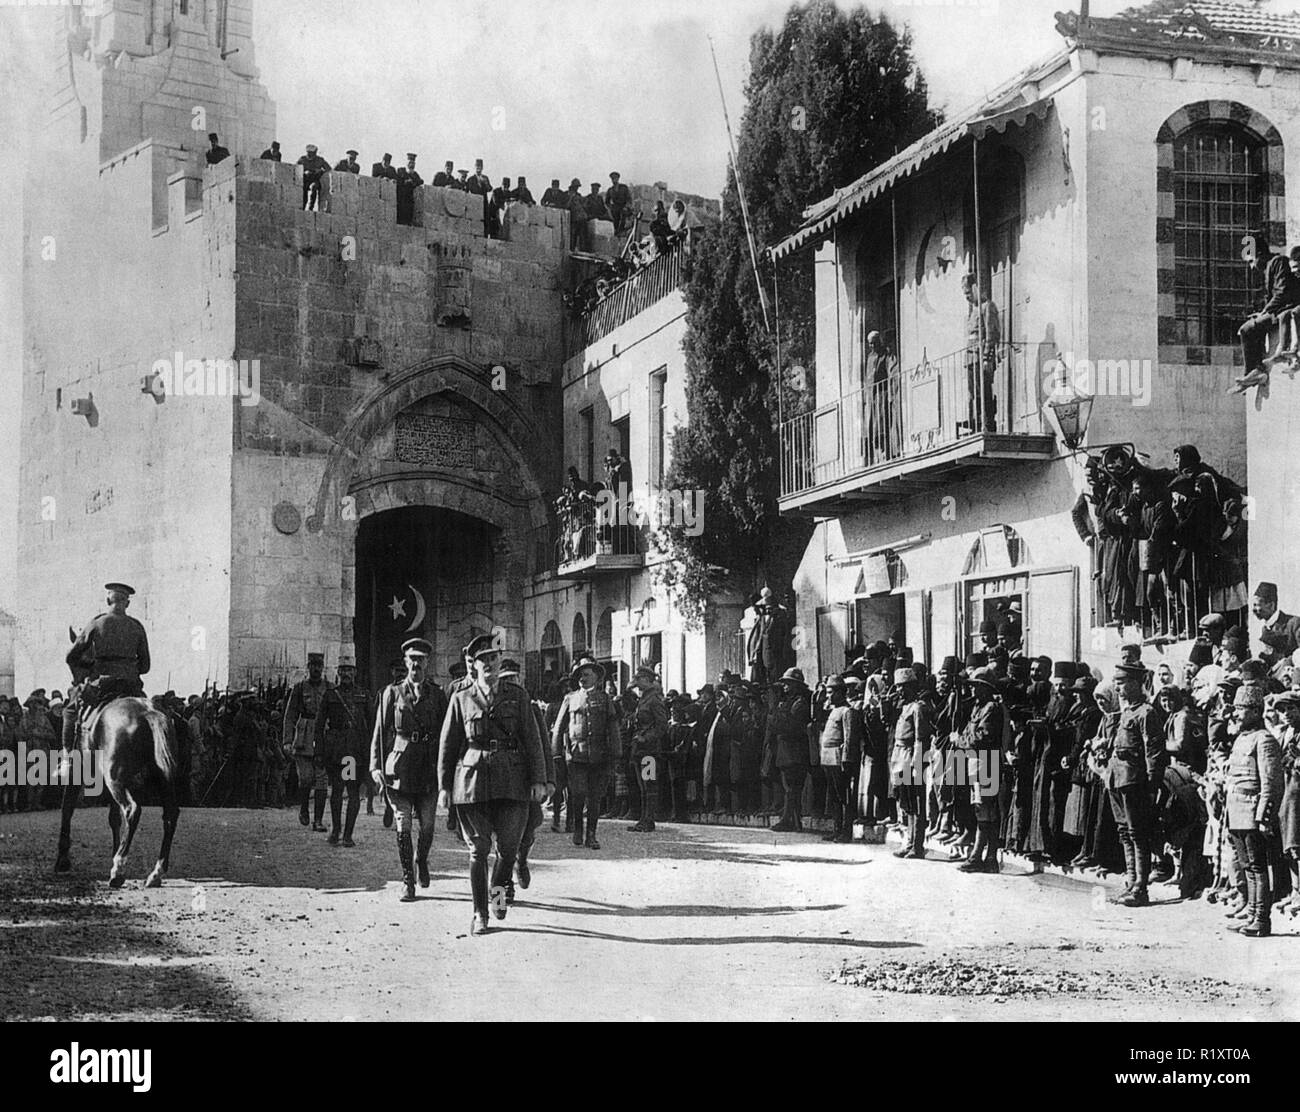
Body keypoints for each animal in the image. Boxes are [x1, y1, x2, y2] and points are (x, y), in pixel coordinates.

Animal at [54, 697, 183, 889]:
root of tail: (149, 713)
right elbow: (114, 819)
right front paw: (115, 850)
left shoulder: (77, 772)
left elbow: (67, 809)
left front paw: (62, 860)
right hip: (162, 780)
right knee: (170, 816)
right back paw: (155, 873)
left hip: (114, 779)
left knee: (132, 810)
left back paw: (118, 869)